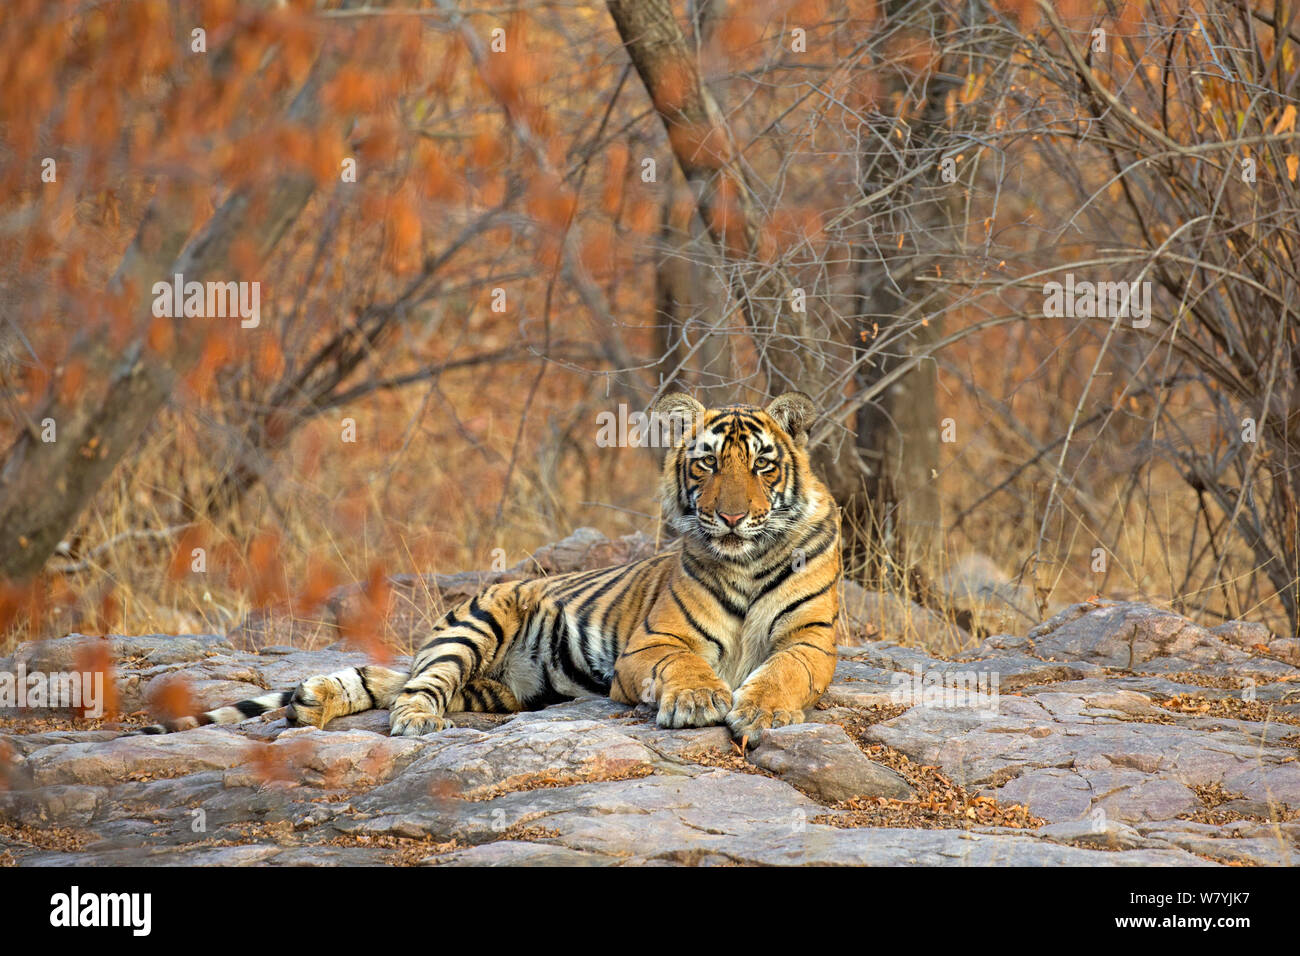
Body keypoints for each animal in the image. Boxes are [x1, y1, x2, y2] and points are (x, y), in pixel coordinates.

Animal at [137, 392, 837, 743]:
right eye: (707, 463)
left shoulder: (812, 643)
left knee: (402, 679)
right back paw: (399, 718)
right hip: (476, 624)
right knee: (417, 684)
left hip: (508, 688)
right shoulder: (653, 643)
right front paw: (697, 700)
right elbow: (687, 665)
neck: (744, 561)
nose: (730, 517)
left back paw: (311, 701)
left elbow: (784, 672)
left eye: (762, 465)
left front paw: (763, 711)